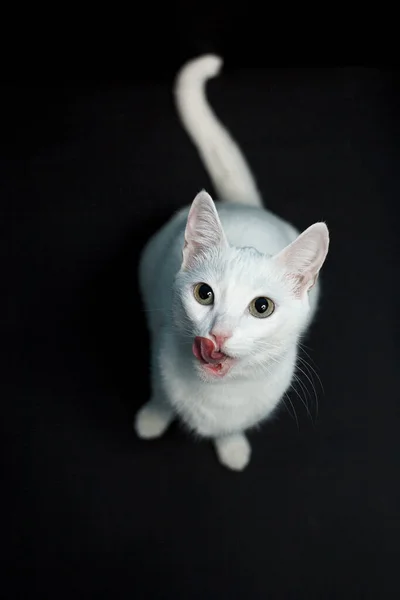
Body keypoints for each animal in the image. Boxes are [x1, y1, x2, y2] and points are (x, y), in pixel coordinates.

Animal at [134, 54, 328, 472]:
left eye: (262, 307)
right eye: (204, 294)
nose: (218, 335)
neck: (218, 394)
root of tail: (244, 205)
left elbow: (230, 428)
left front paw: (232, 447)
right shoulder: (159, 351)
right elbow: (161, 393)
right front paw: (153, 418)